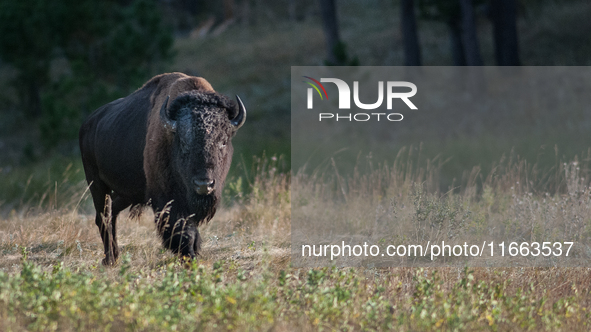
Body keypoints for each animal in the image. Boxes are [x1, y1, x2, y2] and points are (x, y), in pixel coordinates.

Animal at [78, 72, 245, 264]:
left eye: (223, 142)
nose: (204, 185)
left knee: (111, 213)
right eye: (184, 143)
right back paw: (110, 260)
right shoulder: (167, 198)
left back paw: (114, 255)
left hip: (128, 192)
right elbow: (182, 231)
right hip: (96, 183)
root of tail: (88, 123)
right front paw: (189, 257)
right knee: (103, 216)